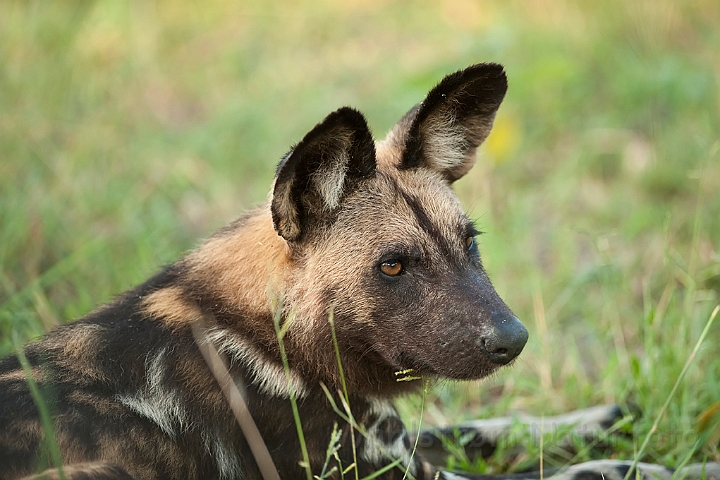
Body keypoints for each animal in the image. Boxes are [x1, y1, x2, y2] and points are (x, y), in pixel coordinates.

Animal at [1, 64, 720, 480]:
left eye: (470, 244)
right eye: (394, 265)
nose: (512, 340)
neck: (266, 333)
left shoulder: (396, 441)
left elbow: (490, 427)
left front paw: (604, 419)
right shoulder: (388, 471)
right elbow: (595, 471)